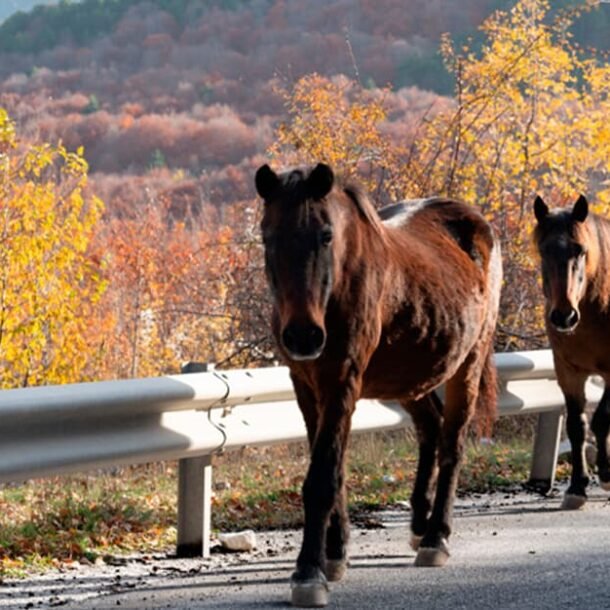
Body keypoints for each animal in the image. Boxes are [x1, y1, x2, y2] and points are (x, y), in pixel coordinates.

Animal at [254, 162, 502, 604]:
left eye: (326, 235)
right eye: (268, 236)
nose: (302, 336)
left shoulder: (342, 382)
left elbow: (323, 476)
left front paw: (309, 572)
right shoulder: (306, 386)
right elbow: (333, 470)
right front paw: (334, 553)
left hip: (468, 363)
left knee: (452, 445)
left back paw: (436, 538)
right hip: (412, 376)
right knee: (430, 429)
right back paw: (419, 524)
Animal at [528, 195, 608, 508]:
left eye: (581, 250)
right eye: (543, 250)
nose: (564, 317)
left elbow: (601, 419)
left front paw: (604, 477)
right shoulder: (568, 371)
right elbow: (577, 426)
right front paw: (577, 487)